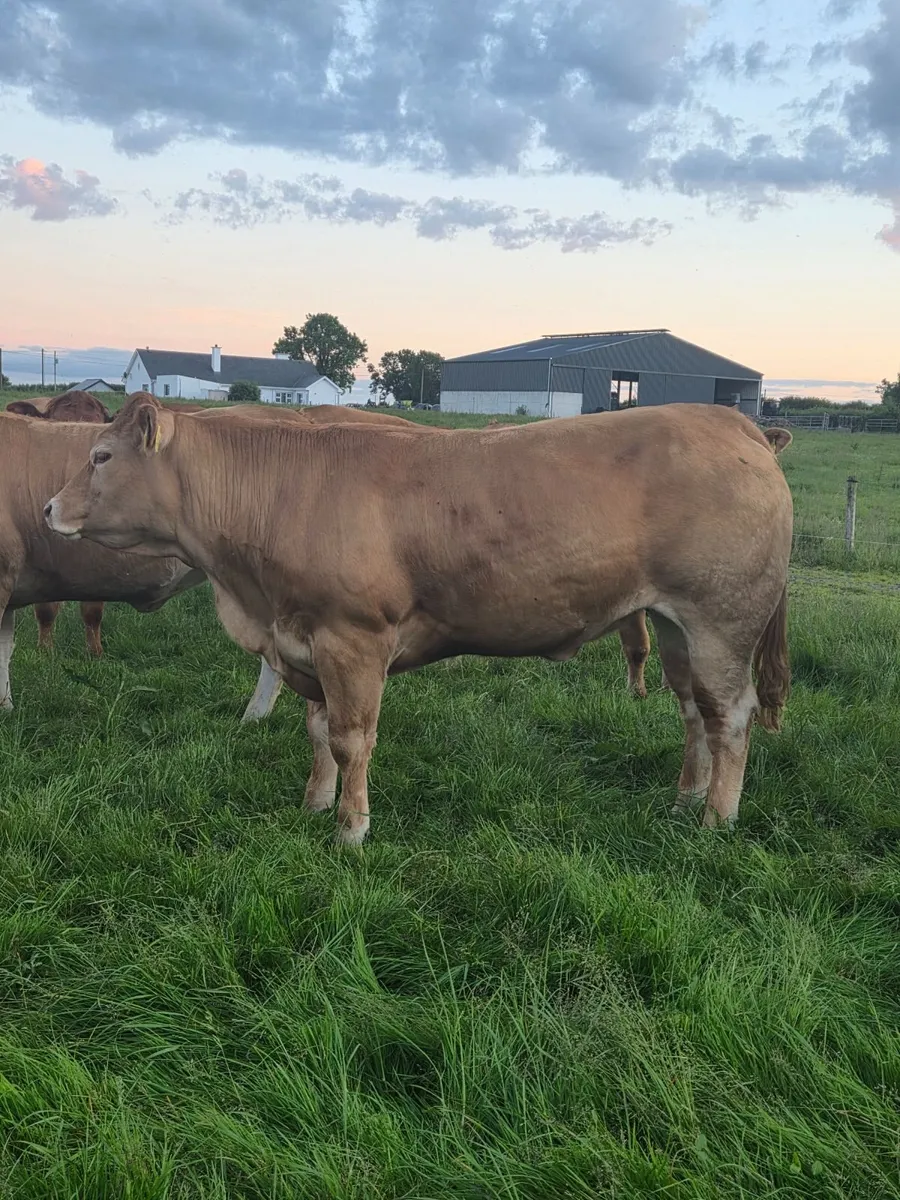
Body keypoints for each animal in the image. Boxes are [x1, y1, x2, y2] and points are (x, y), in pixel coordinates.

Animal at [47, 396, 793, 843]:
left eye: (102, 456)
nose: (50, 509)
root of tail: (732, 421)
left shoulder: (353, 640)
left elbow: (351, 739)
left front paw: (351, 828)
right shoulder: (305, 640)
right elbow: (317, 731)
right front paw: (315, 802)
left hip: (723, 621)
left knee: (731, 714)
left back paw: (717, 817)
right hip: (673, 624)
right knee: (693, 709)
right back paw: (684, 798)